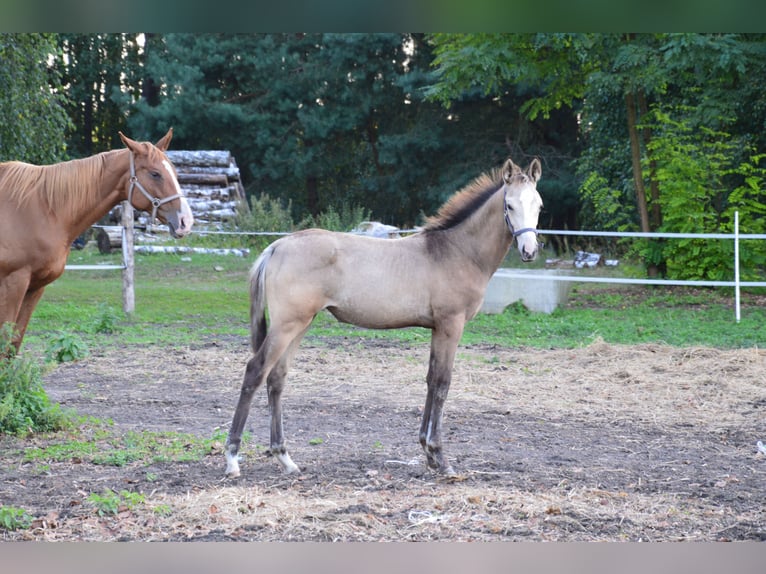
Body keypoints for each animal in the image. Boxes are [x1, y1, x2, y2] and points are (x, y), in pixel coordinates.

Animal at [0, 130, 195, 354]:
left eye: (174, 172)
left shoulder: (34, 288)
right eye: (155, 174)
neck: (41, 210)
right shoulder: (13, 284)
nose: (185, 221)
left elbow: (13, 345)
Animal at [225, 155, 544, 480]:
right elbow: (443, 383)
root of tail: (277, 247)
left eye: (539, 205)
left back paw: (285, 458)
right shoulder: (450, 325)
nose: (529, 251)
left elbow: (431, 379)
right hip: (287, 325)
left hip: (300, 324)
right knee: (255, 371)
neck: (456, 252)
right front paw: (441, 458)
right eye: (509, 206)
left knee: (276, 378)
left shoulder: (436, 328)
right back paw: (232, 458)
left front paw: (428, 453)